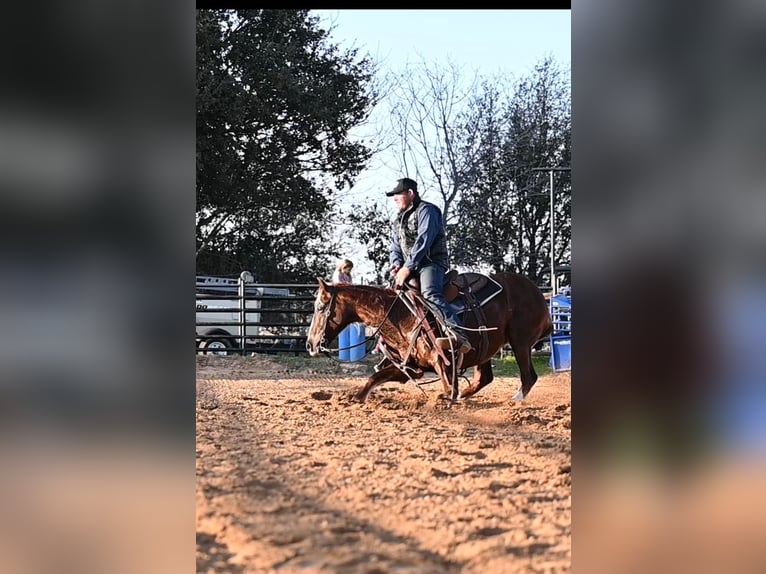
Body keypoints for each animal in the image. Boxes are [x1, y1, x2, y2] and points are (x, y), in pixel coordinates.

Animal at [306, 274, 552, 404]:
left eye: (320, 307)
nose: (310, 344)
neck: (398, 315)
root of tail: (538, 293)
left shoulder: (441, 360)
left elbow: (448, 386)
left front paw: (448, 398)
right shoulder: (410, 369)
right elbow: (372, 379)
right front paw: (354, 399)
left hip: (520, 342)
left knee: (528, 376)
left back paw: (514, 401)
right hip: (487, 348)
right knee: (484, 378)